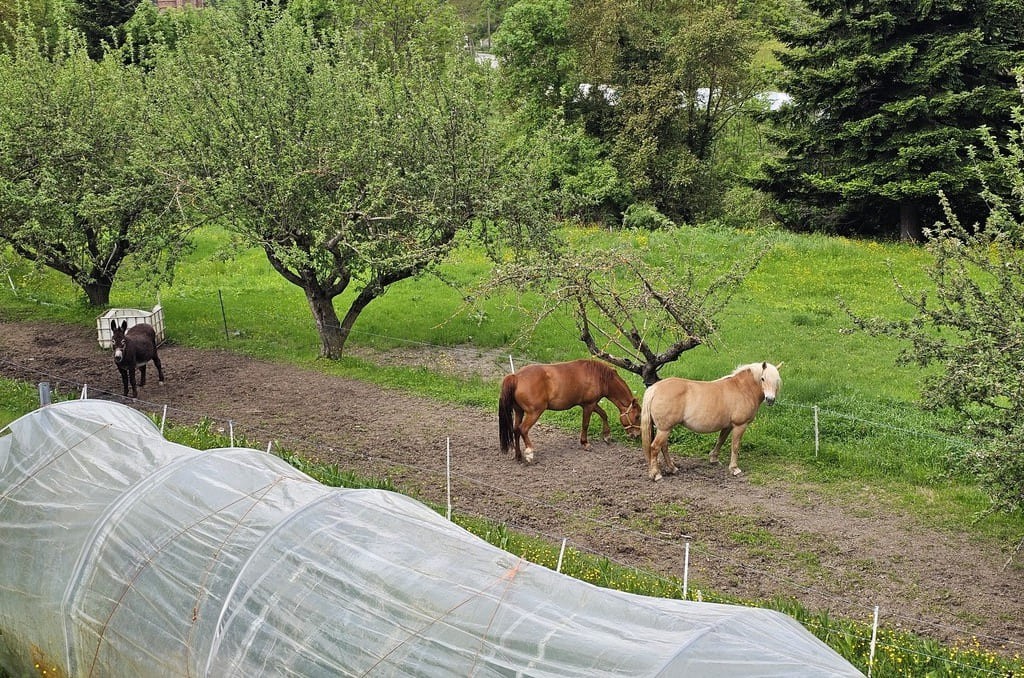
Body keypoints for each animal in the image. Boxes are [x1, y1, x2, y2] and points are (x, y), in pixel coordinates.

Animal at [498, 359, 642, 464]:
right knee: (523, 429)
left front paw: (606, 435)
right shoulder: (588, 405)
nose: (637, 435)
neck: (599, 377)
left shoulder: (591, 403)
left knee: (516, 430)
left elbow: (604, 414)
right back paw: (529, 453)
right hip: (534, 413)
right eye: (637, 416)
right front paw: (585, 443)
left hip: (519, 411)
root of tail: (516, 377)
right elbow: (585, 424)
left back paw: (518, 455)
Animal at [640, 362, 782, 481]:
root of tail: (655, 388)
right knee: (655, 447)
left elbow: (721, 441)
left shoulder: (728, 426)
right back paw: (656, 474)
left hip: (664, 429)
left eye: (777, 381)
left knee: (663, 447)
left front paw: (714, 459)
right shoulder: (739, 425)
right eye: (763, 378)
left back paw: (673, 468)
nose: (770, 399)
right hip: (664, 429)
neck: (742, 388)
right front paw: (734, 468)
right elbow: (735, 446)